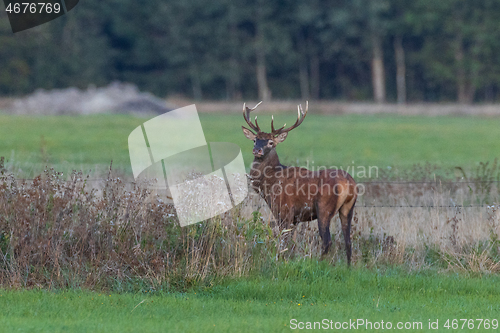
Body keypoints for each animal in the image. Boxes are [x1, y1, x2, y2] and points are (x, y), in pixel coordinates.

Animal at [241, 101, 356, 264]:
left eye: (271, 142)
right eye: (255, 139)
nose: (257, 150)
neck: (268, 184)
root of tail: (349, 183)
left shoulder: (284, 210)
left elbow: (284, 240)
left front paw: (280, 260)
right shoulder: (295, 218)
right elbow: (292, 243)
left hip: (324, 207)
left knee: (327, 240)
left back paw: (319, 263)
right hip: (347, 208)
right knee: (348, 241)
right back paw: (348, 267)